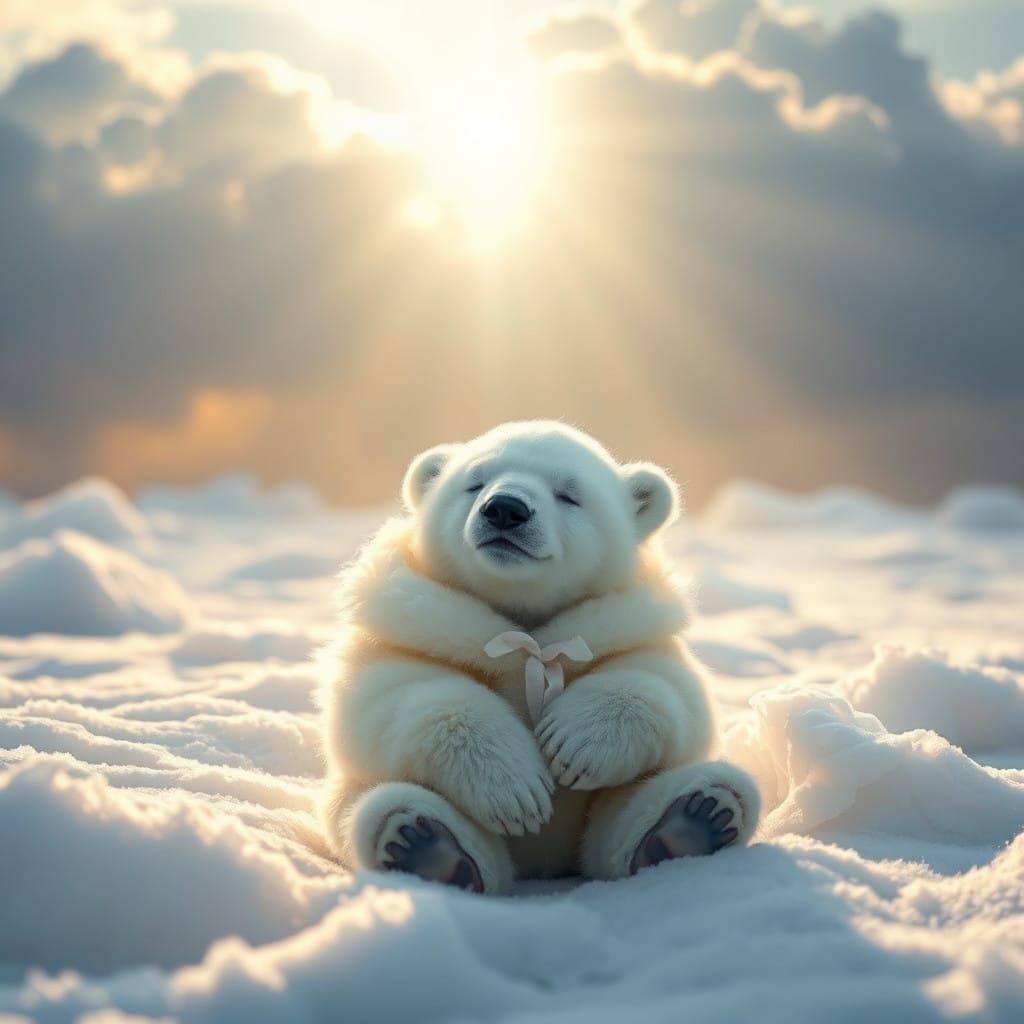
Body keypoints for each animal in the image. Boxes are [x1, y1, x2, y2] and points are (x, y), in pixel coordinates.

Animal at [320, 421, 760, 893]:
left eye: (569, 494)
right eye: (474, 482)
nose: (505, 508)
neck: (525, 623)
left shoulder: (636, 628)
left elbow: (676, 692)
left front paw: (573, 745)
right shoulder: (405, 626)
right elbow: (386, 695)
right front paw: (517, 791)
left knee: (668, 792)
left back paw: (696, 818)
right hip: (349, 795)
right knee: (365, 805)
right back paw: (424, 844)